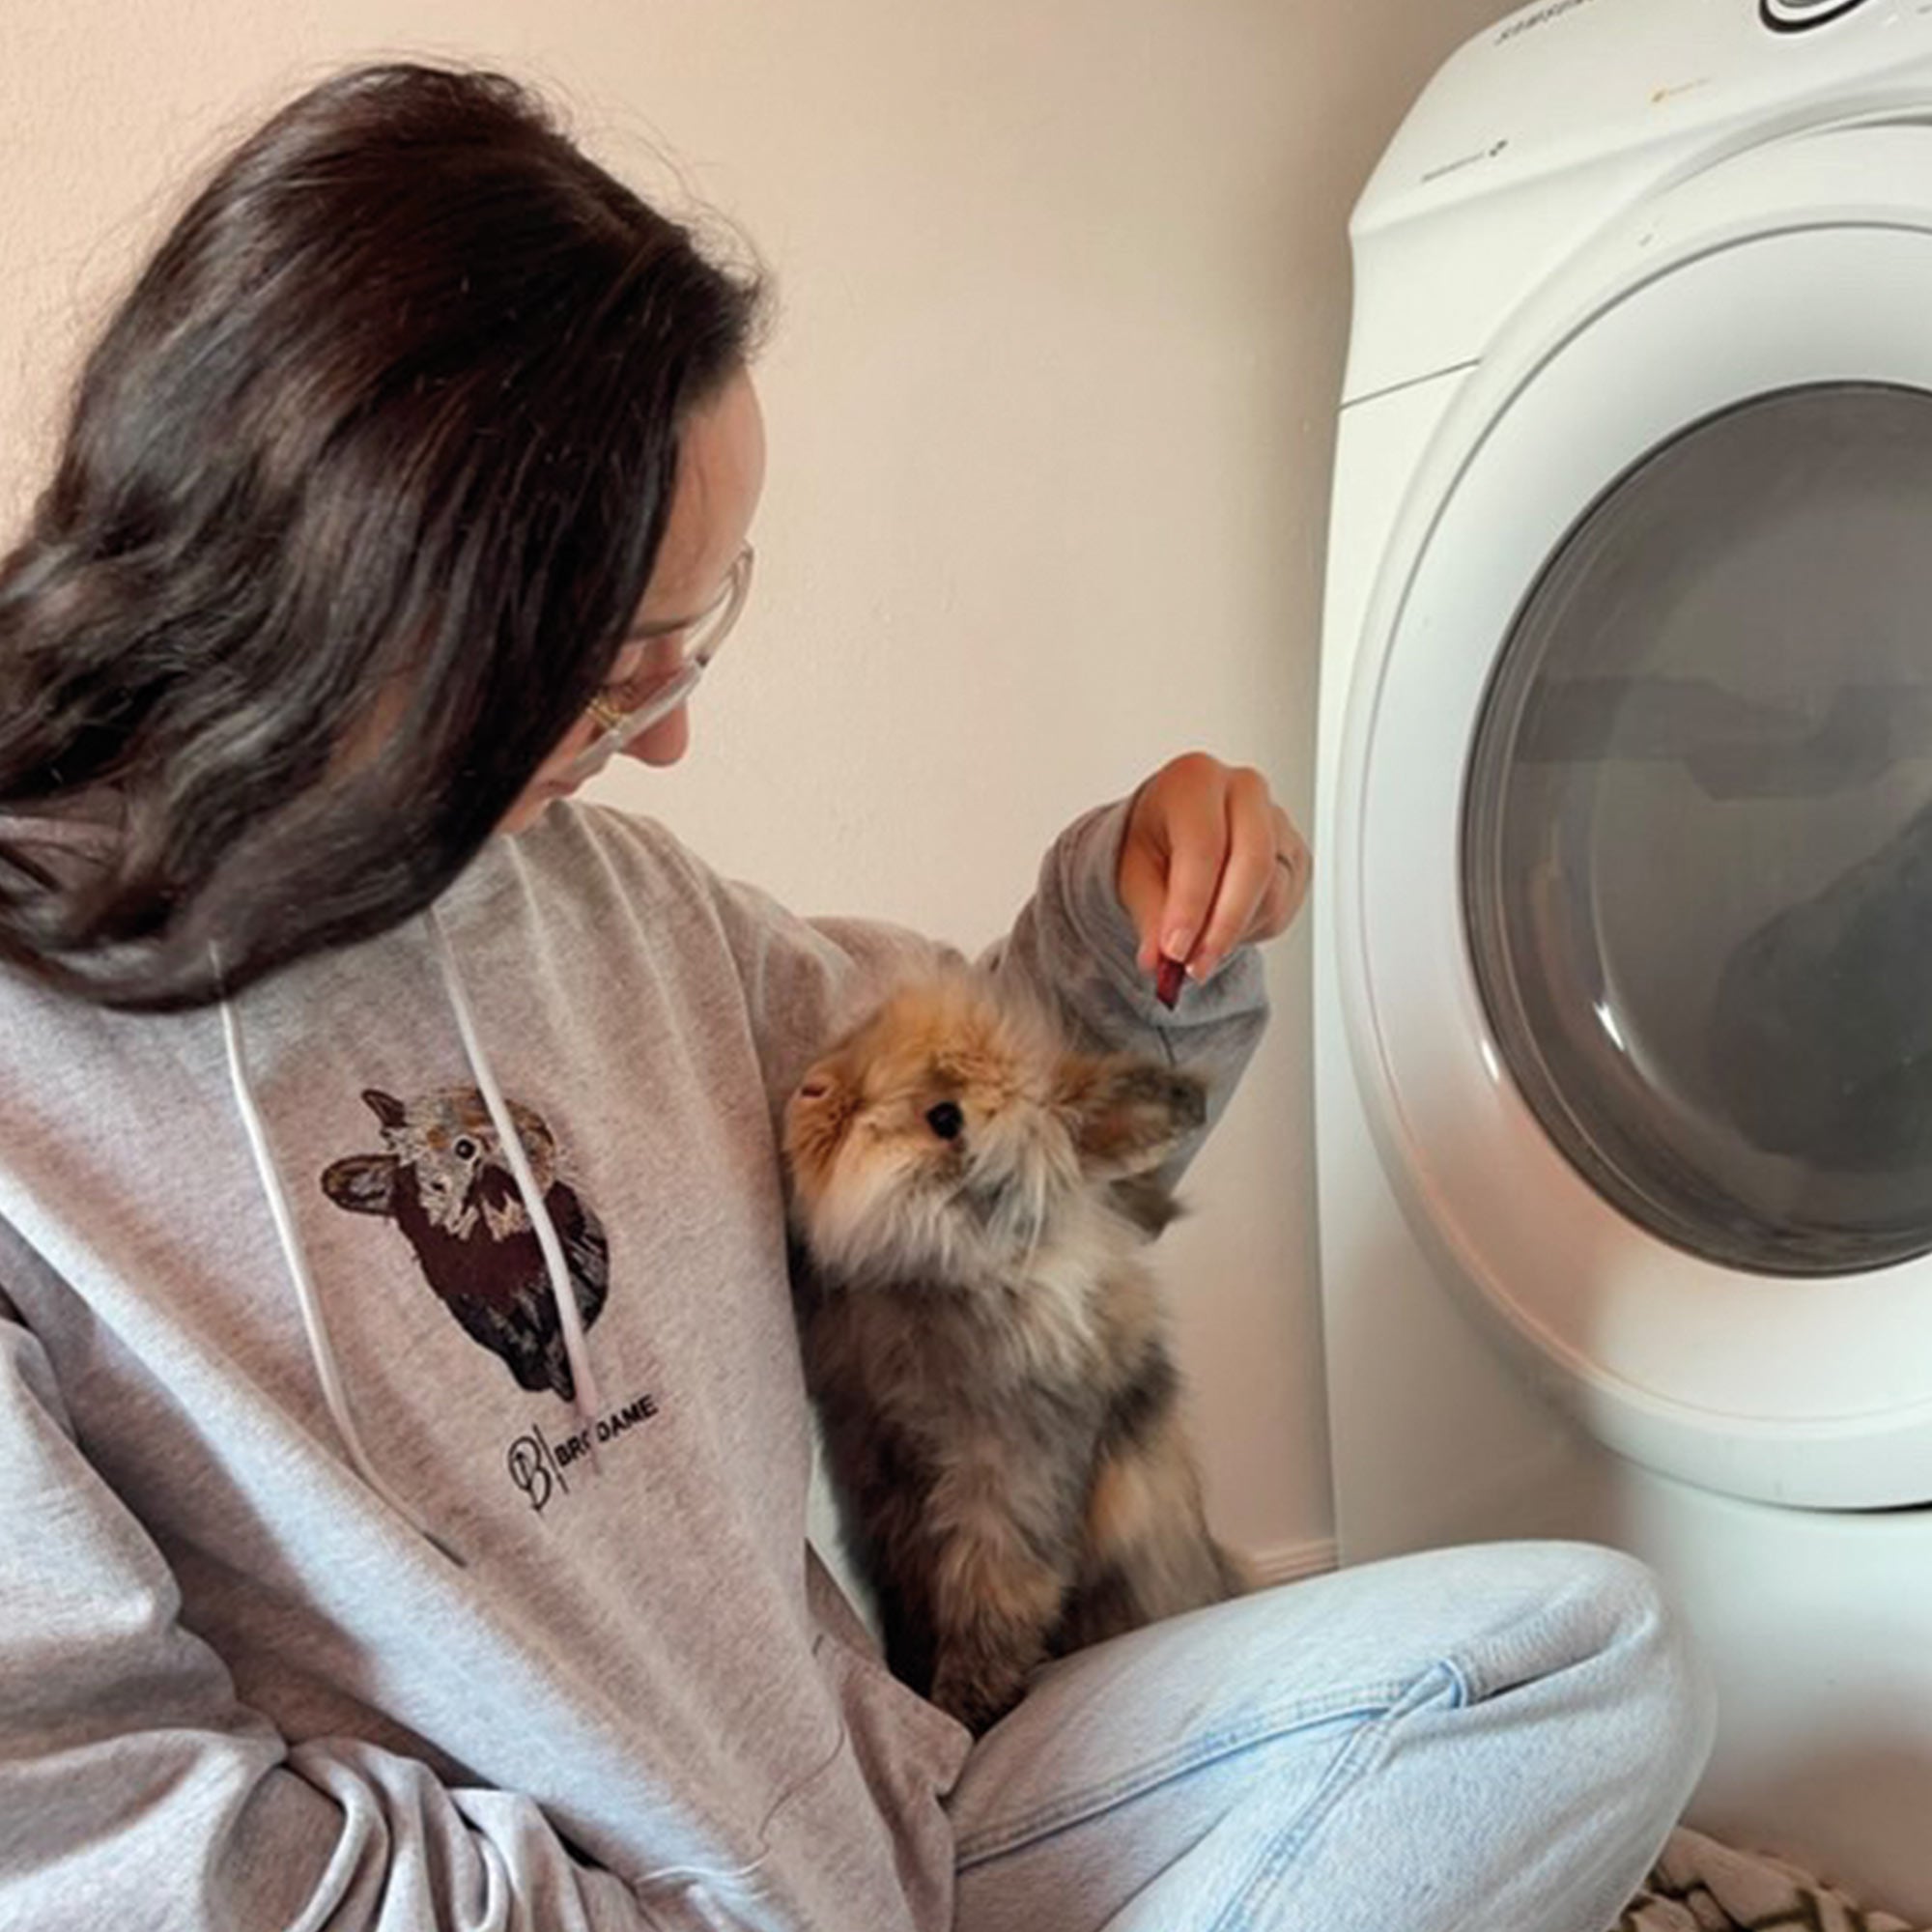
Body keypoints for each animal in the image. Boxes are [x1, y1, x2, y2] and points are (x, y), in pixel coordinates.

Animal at [777, 966, 1244, 1739]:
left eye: (946, 1118)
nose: (810, 1088)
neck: (939, 1276)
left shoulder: (1006, 1490)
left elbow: (992, 1604)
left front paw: (964, 1708)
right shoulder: (880, 1498)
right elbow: (913, 1605)